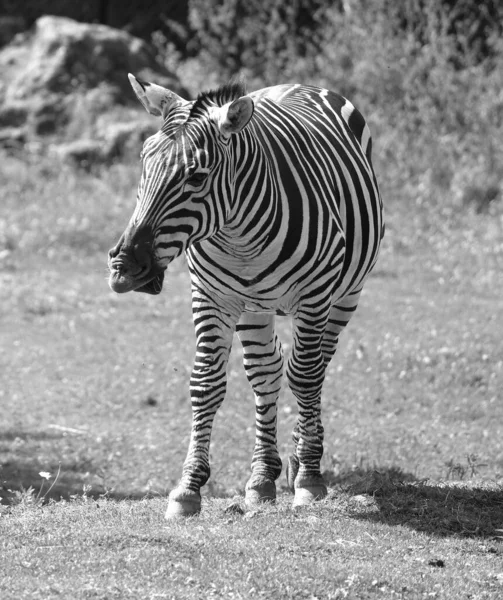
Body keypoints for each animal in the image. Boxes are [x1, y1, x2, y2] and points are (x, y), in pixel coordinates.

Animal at [108, 74, 384, 516]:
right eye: (143, 164)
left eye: (197, 177)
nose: (123, 268)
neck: (238, 237)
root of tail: (298, 83)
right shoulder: (212, 296)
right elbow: (206, 383)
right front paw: (188, 488)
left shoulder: (315, 295)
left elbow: (305, 377)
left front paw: (309, 478)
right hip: (254, 305)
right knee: (266, 373)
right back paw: (262, 476)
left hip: (345, 295)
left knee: (315, 367)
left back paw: (303, 457)